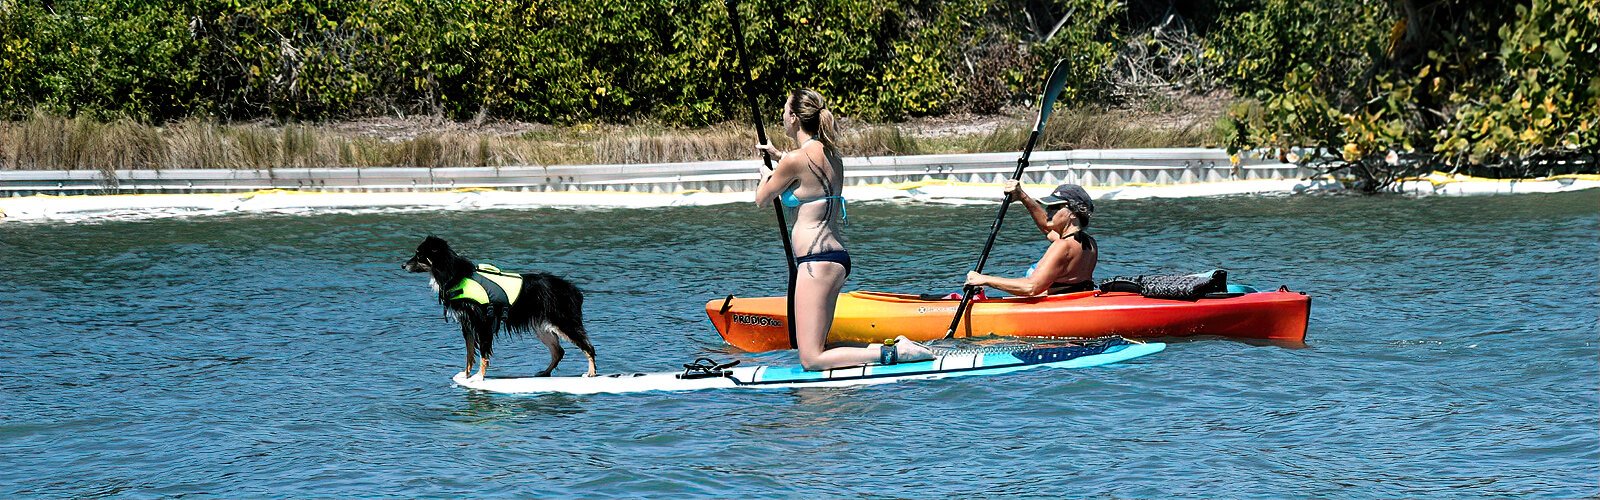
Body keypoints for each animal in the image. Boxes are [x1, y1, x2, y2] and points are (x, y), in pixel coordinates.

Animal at [403, 235, 598, 378]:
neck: (455, 274)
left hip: (564, 322)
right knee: (559, 351)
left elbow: (483, 354)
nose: (403, 265)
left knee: (588, 347)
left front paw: (479, 378)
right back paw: (545, 372)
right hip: (542, 327)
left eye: (419, 255)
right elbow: (469, 354)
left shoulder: (483, 323)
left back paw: (591, 373)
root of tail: (573, 290)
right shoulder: (467, 325)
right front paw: (466, 376)